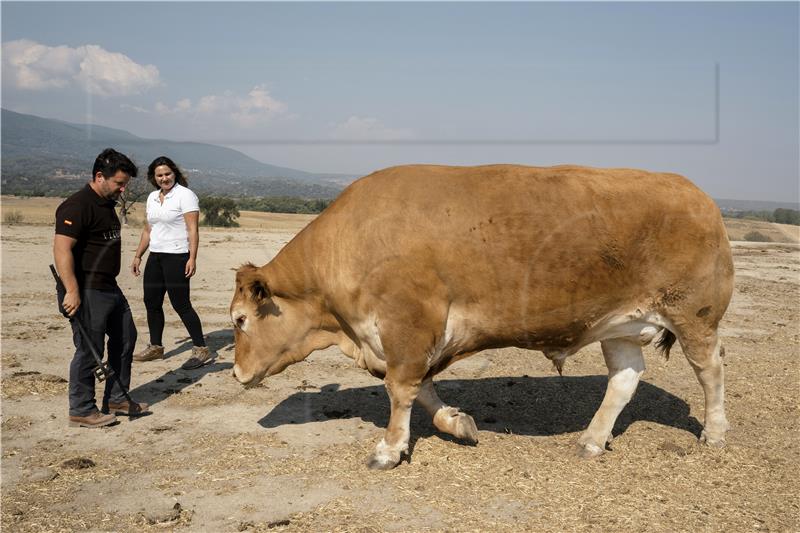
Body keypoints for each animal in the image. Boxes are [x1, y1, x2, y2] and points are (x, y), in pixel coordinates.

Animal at [228, 164, 736, 468]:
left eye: (239, 320)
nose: (235, 373)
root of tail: (697, 194)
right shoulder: (412, 339)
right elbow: (423, 390)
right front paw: (458, 423)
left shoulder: (408, 326)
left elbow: (400, 389)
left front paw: (389, 449)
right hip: (620, 326)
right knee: (625, 379)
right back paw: (591, 439)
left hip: (694, 315)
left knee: (710, 370)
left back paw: (714, 431)